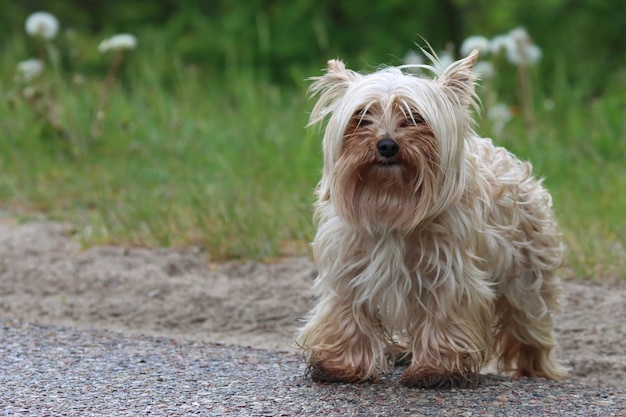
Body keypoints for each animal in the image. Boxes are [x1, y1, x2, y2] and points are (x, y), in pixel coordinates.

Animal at [294, 48, 564, 386]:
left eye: (414, 117)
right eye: (362, 117)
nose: (386, 145)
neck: (391, 199)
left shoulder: (448, 272)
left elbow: (443, 315)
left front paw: (436, 368)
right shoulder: (347, 266)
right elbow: (346, 311)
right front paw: (340, 365)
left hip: (526, 278)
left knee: (529, 327)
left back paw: (535, 370)